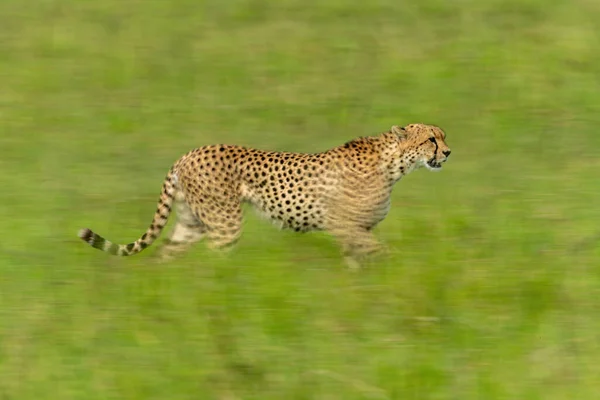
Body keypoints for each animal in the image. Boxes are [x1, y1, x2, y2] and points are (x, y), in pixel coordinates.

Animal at [78, 124, 450, 268]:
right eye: (431, 139)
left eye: (443, 136)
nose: (448, 153)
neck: (394, 164)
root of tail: (188, 154)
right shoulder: (347, 227)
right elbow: (386, 253)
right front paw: (405, 270)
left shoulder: (355, 232)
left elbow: (360, 262)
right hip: (224, 223)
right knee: (215, 260)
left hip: (192, 223)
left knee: (166, 256)